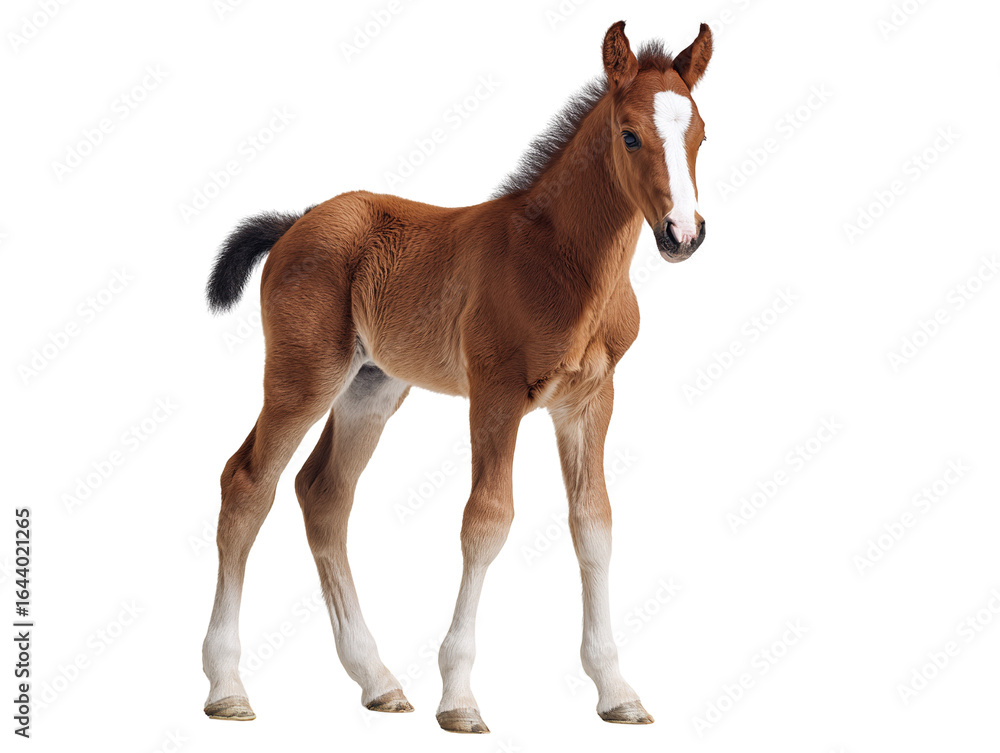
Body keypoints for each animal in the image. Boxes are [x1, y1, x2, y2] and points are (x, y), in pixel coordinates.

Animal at [201, 20, 712, 733]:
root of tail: (296, 222)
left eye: (700, 135)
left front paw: (617, 691)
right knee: (249, 483)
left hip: (371, 387)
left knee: (324, 493)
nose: (682, 233)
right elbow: (487, 520)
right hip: (305, 374)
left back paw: (379, 681)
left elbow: (594, 526)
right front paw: (461, 699)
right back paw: (227, 686)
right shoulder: (495, 395)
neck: (562, 263)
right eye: (630, 134)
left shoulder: (589, 401)